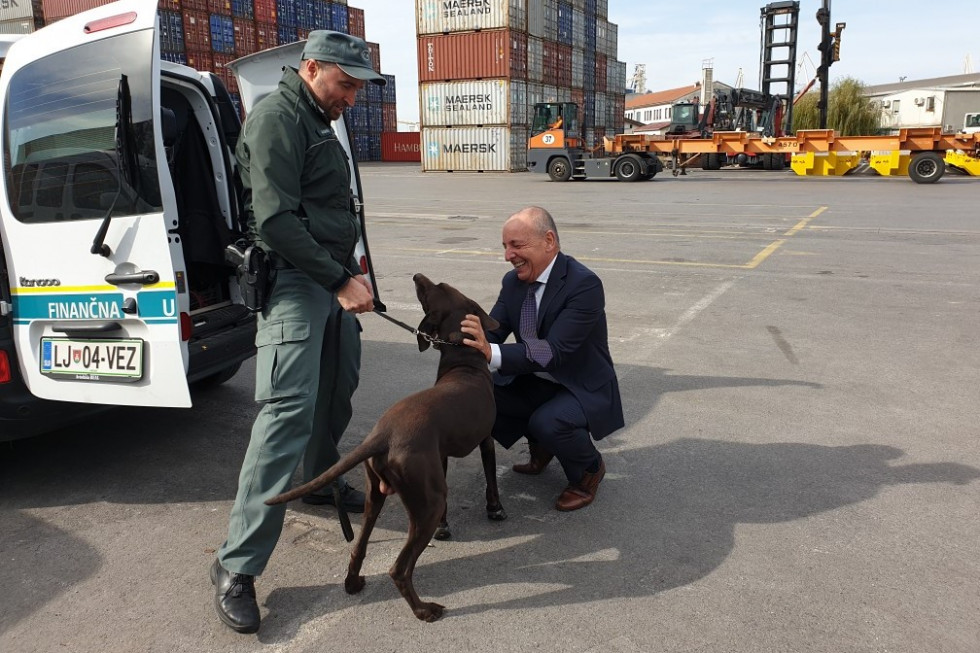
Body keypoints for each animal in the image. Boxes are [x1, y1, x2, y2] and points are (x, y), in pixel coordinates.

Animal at [266, 272, 506, 620]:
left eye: (437, 287)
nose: (418, 275)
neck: (464, 362)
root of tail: (381, 435)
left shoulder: (441, 456)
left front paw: (446, 527)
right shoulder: (485, 441)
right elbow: (491, 480)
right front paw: (496, 509)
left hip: (376, 496)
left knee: (358, 547)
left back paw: (353, 583)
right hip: (427, 503)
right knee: (399, 569)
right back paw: (424, 610)